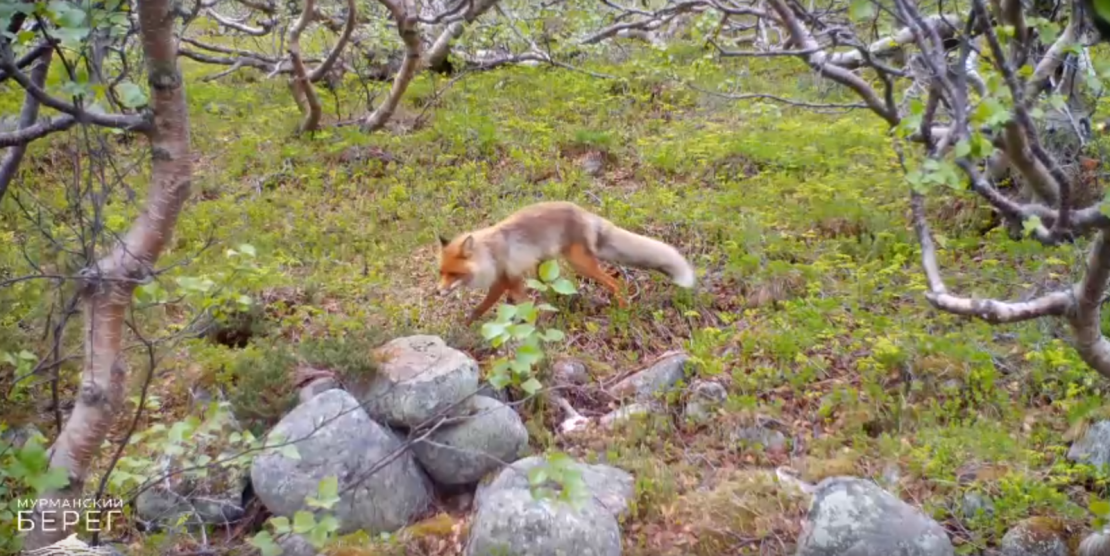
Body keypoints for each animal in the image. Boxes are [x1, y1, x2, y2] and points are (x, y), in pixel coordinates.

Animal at [435, 201, 696, 324]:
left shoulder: (504, 279)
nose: (437, 292)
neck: (488, 253)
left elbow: (483, 308)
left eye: (453, 273)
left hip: (581, 264)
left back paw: (623, 309)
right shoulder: (513, 280)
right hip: (544, 264)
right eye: (441, 272)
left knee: (616, 283)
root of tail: (585, 212)